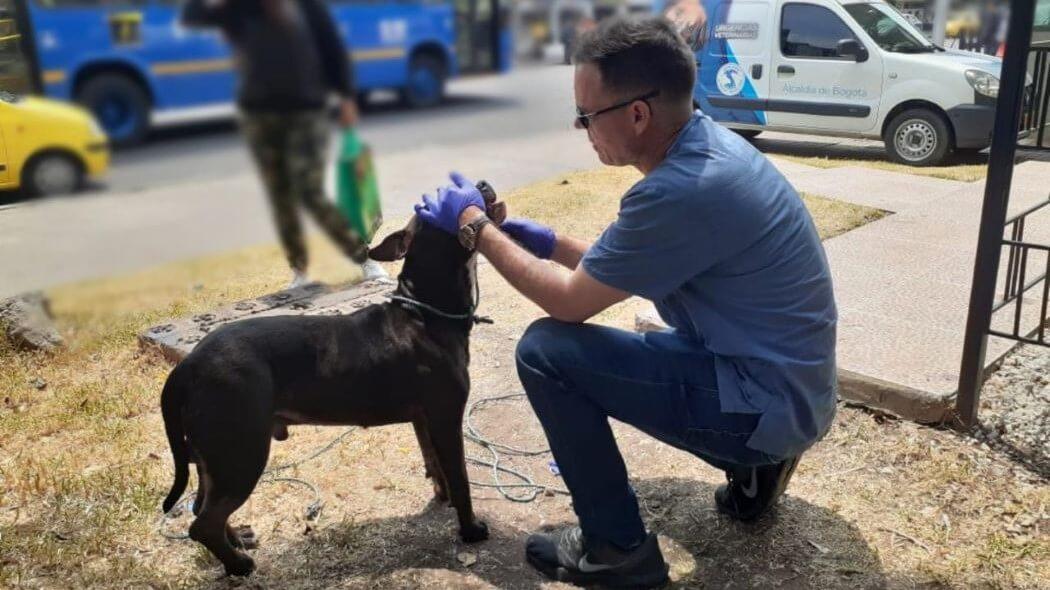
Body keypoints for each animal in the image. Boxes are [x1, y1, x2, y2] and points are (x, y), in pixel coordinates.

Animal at [157, 188, 501, 575]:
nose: (483, 184)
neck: (422, 311)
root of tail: (187, 366)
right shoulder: (445, 417)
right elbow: (460, 478)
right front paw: (470, 529)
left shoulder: (424, 419)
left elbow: (436, 466)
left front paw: (442, 500)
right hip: (240, 452)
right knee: (203, 522)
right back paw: (239, 564)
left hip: (215, 457)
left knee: (202, 506)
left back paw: (238, 541)